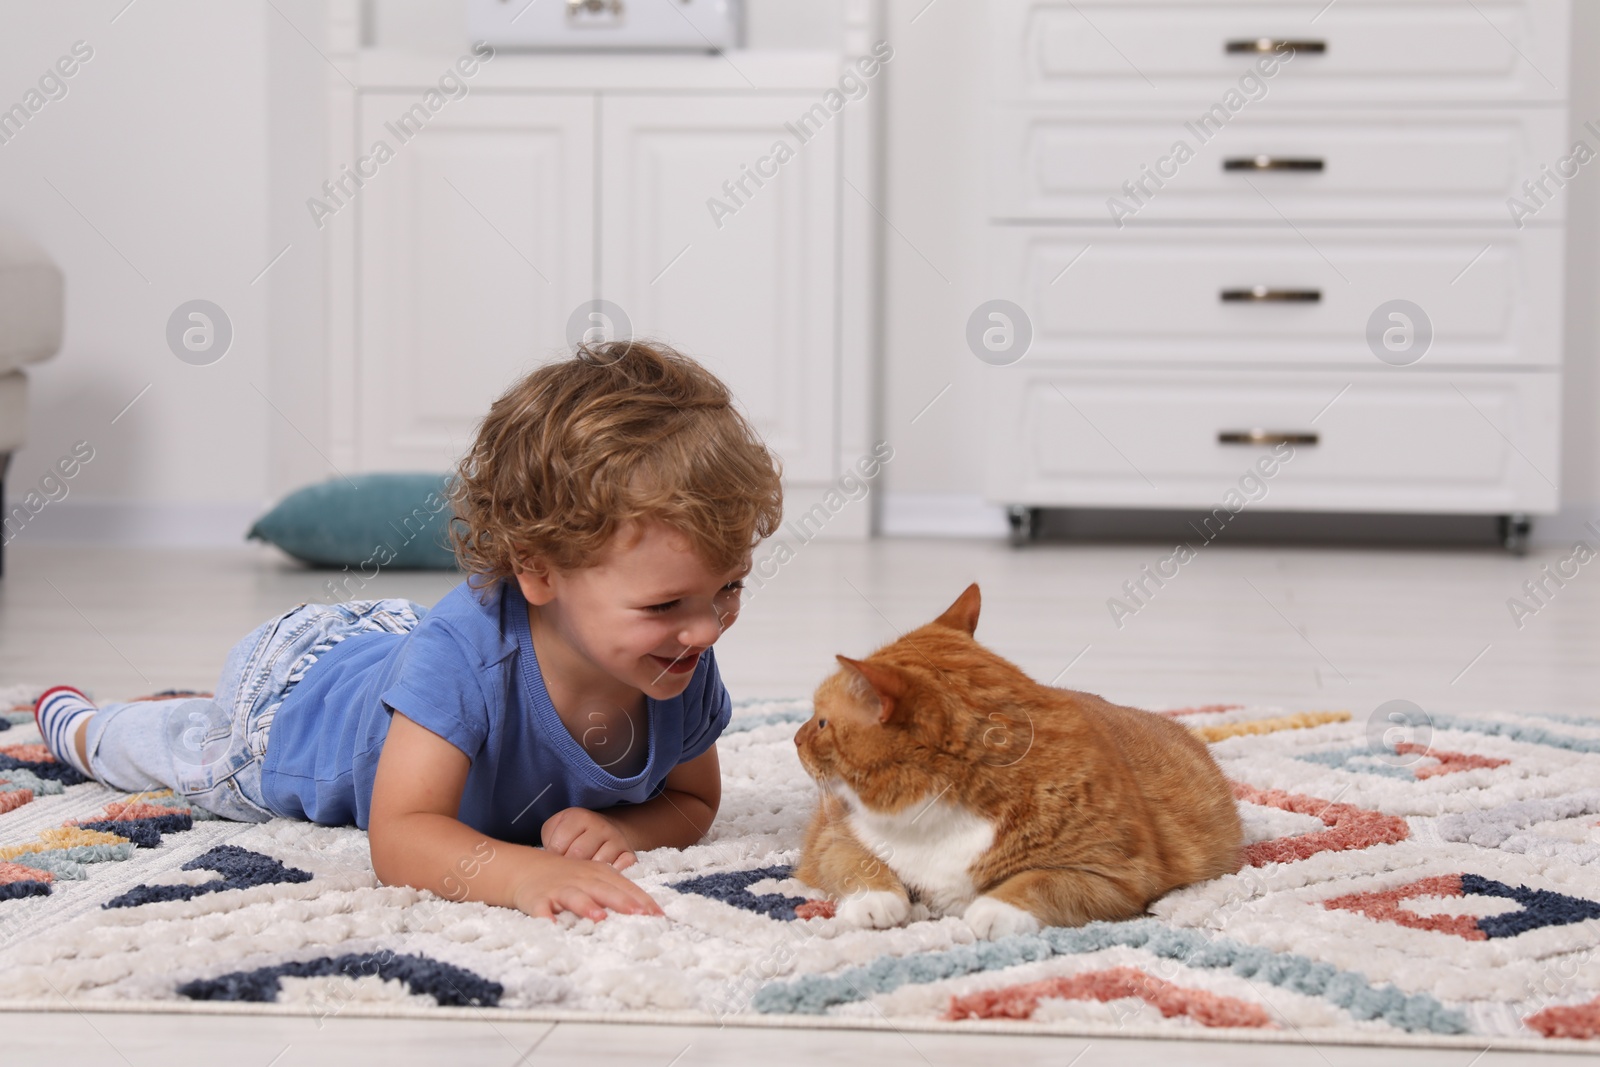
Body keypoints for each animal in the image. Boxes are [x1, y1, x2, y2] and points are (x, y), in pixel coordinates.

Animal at [793, 585, 1241, 940]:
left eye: (821, 722)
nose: (795, 739)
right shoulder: (835, 836)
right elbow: (859, 863)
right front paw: (878, 902)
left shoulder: (1114, 875)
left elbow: (1040, 882)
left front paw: (994, 910)